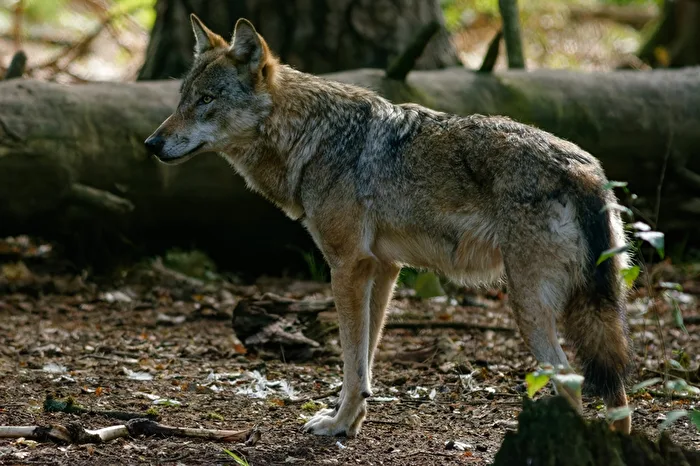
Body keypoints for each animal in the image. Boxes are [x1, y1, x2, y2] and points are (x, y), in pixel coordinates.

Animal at [145, 15, 633, 437]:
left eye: (206, 101)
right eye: (182, 100)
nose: (151, 143)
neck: (311, 137)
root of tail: (586, 170)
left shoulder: (347, 266)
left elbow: (350, 361)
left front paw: (337, 425)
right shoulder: (382, 268)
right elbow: (365, 364)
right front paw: (351, 422)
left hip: (529, 303)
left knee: (573, 382)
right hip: (588, 307)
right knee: (619, 395)